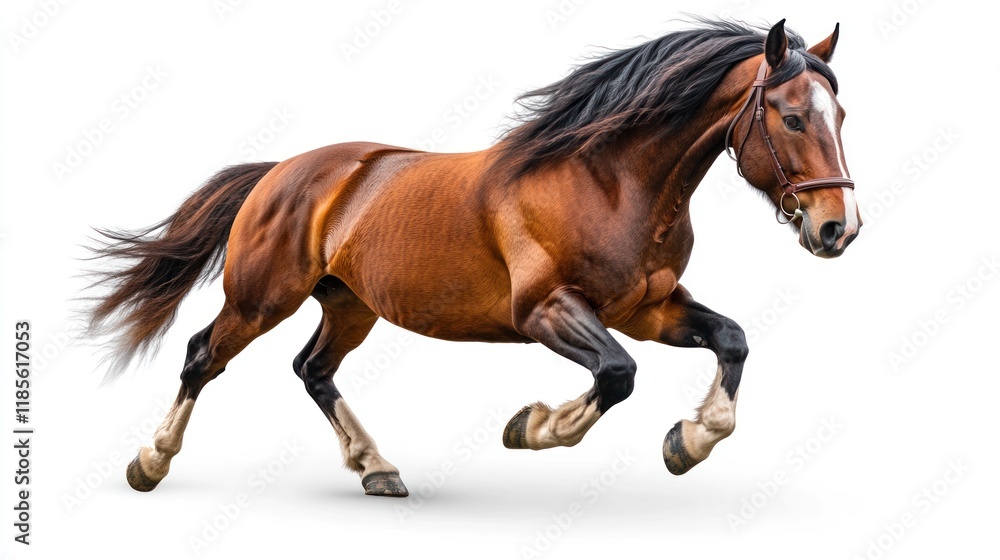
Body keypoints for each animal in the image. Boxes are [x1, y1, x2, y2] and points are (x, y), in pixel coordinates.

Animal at [84, 19, 860, 497]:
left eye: (842, 115)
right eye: (793, 117)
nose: (837, 230)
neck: (611, 181)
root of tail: (280, 172)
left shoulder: (649, 309)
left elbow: (731, 339)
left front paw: (690, 441)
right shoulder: (545, 310)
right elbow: (617, 374)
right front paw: (534, 427)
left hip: (350, 304)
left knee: (312, 370)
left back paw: (377, 468)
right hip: (259, 298)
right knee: (201, 356)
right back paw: (149, 463)